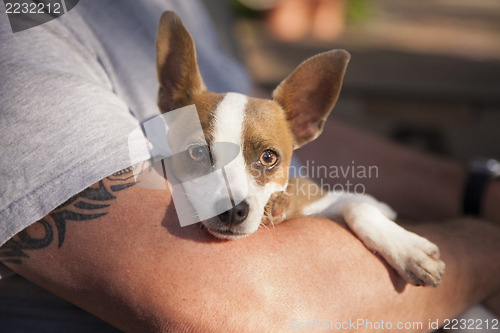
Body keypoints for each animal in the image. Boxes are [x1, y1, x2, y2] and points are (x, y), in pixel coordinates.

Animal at [154, 10, 444, 286]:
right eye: (197, 153)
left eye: (268, 157)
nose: (233, 210)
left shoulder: (331, 200)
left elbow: (358, 205)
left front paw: (408, 249)